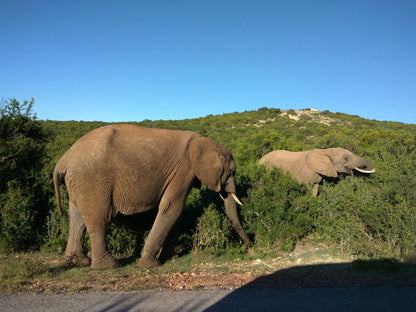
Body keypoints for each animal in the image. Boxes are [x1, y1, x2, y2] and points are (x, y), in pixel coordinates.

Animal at [53, 125, 249, 270]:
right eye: (232, 171)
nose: (249, 245)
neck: (205, 142)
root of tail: (64, 158)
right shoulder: (184, 171)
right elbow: (171, 208)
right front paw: (149, 265)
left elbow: (176, 212)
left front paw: (171, 256)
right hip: (92, 179)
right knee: (100, 219)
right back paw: (109, 266)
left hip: (79, 181)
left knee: (77, 218)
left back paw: (78, 262)